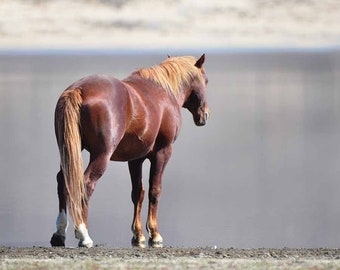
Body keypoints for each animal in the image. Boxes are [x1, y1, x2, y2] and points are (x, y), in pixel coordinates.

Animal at [49, 53, 210, 248]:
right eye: (206, 81)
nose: (204, 115)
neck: (164, 92)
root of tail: (78, 90)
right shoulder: (162, 152)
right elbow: (154, 191)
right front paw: (154, 235)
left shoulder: (135, 159)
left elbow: (137, 193)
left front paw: (138, 235)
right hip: (101, 155)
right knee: (86, 184)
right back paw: (83, 234)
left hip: (69, 151)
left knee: (63, 181)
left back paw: (59, 234)